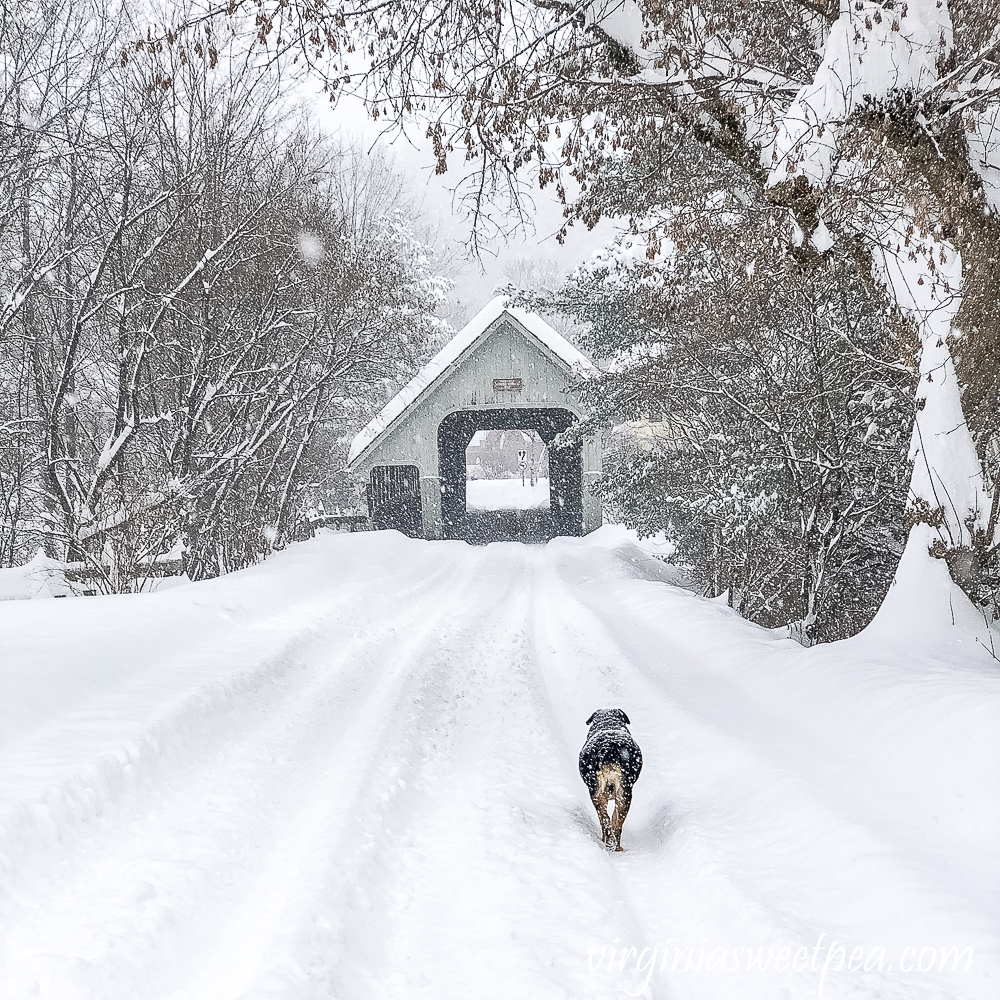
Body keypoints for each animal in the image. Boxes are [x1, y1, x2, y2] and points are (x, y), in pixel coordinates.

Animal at [580, 712, 640, 852]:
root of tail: (609, 751)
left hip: (602, 792)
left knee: (607, 820)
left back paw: (611, 843)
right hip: (621, 793)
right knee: (613, 821)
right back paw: (613, 844)